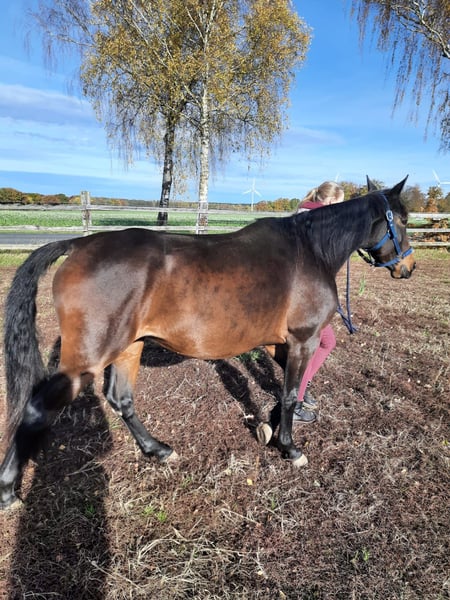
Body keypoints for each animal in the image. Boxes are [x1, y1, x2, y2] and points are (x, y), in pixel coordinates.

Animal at [0, 177, 416, 509]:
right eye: (404, 220)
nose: (407, 268)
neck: (309, 251)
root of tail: (78, 245)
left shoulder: (274, 341)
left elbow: (286, 382)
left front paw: (276, 419)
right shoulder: (304, 338)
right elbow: (290, 390)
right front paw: (289, 444)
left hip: (128, 346)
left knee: (121, 399)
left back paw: (157, 450)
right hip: (88, 358)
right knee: (37, 408)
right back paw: (7, 491)